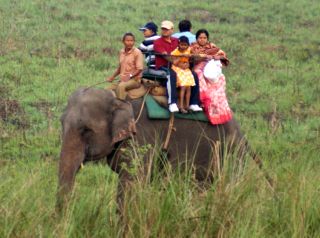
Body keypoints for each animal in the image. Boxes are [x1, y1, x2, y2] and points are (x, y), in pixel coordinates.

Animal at [57, 87, 268, 212]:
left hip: (230, 152)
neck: (117, 97)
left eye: (86, 130)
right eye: (61, 124)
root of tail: (242, 133)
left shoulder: (141, 136)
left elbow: (132, 181)